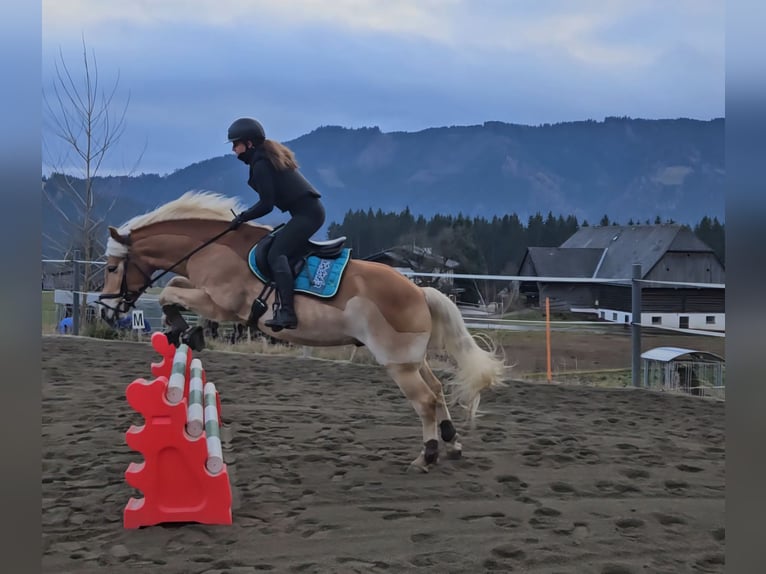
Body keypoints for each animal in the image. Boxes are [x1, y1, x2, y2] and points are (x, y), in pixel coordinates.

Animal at [100, 191, 510, 470]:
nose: (106, 310)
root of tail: (419, 290)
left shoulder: (220, 304)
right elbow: (174, 286)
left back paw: (427, 456)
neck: (212, 248)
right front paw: (184, 331)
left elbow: (171, 292)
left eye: (111, 268)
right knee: (438, 391)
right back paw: (452, 444)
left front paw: (184, 329)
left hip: (398, 363)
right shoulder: (207, 295)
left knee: (424, 400)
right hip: (412, 358)